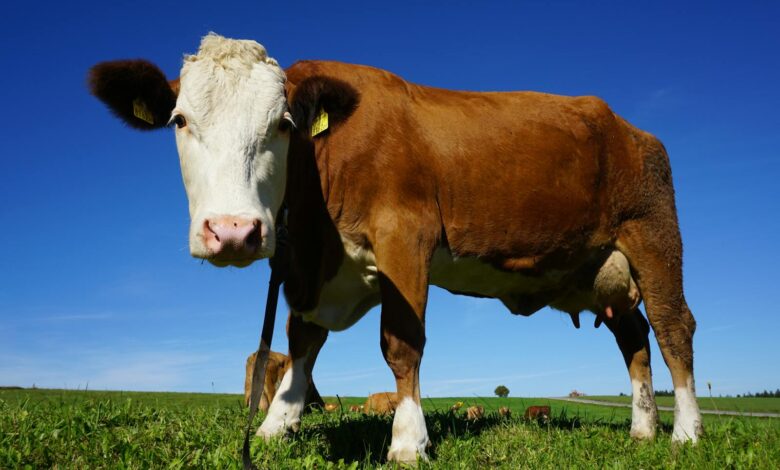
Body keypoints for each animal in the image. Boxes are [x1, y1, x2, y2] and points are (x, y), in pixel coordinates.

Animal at [88, 33, 703, 463]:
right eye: (179, 120)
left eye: (283, 124)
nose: (235, 231)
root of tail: (630, 128)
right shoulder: (314, 269)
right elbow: (302, 343)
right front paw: (274, 428)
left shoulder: (405, 236)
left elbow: (400, 344)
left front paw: (408, 441)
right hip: (599, 270)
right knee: (634, 339)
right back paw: (642, 430)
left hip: (653, 236)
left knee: (673, 329)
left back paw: (686, 433)